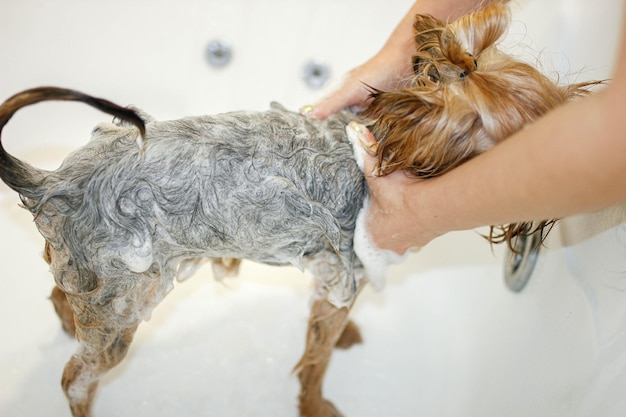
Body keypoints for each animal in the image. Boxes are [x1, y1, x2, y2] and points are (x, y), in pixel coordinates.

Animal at [0, 4, 596, 416]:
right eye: (525, 139)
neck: (375, 152)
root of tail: (53, 181)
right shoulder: (346, 274)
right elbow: (318, 360)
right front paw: (316, 405)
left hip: (102, 281)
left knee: (60, 297)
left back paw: (63, 322)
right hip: (125, 305)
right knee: (75, 377)